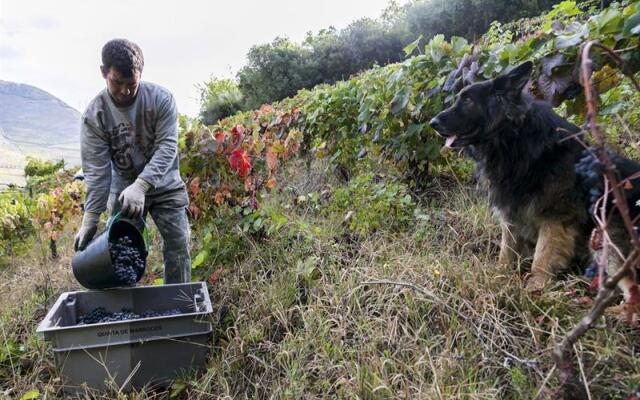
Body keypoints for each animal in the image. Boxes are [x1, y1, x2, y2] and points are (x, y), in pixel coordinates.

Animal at [430, 61, 640, 298]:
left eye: (467, 100)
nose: (432, 122)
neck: (514, 139)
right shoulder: (511, 214)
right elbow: (507, 251)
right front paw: (499, 277)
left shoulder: (554, 219)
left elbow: (541, 258)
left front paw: (534, 289)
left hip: (607, 235)